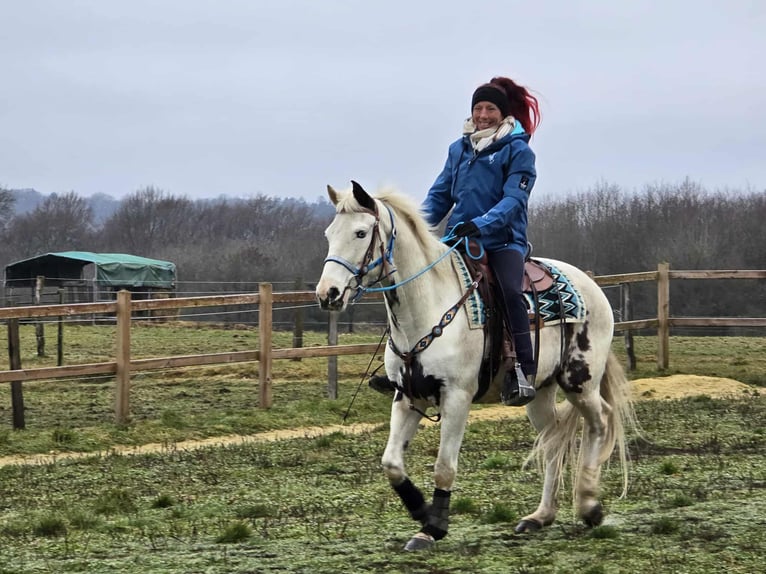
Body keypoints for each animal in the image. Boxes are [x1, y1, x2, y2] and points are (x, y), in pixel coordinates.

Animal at [315, 181, 637, 551]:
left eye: (360, 232)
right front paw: (422, 511)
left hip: (580, 381)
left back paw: (589, 505)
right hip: (540, 392)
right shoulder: (408, 396)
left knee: (600, 421)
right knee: (553, 439)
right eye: (329, 234)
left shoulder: (457, 396)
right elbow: (392, 463)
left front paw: (433, 527)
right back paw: (540, 516)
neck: (428, 305)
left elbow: (444, 466)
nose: (327, 293)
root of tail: (590, 284)